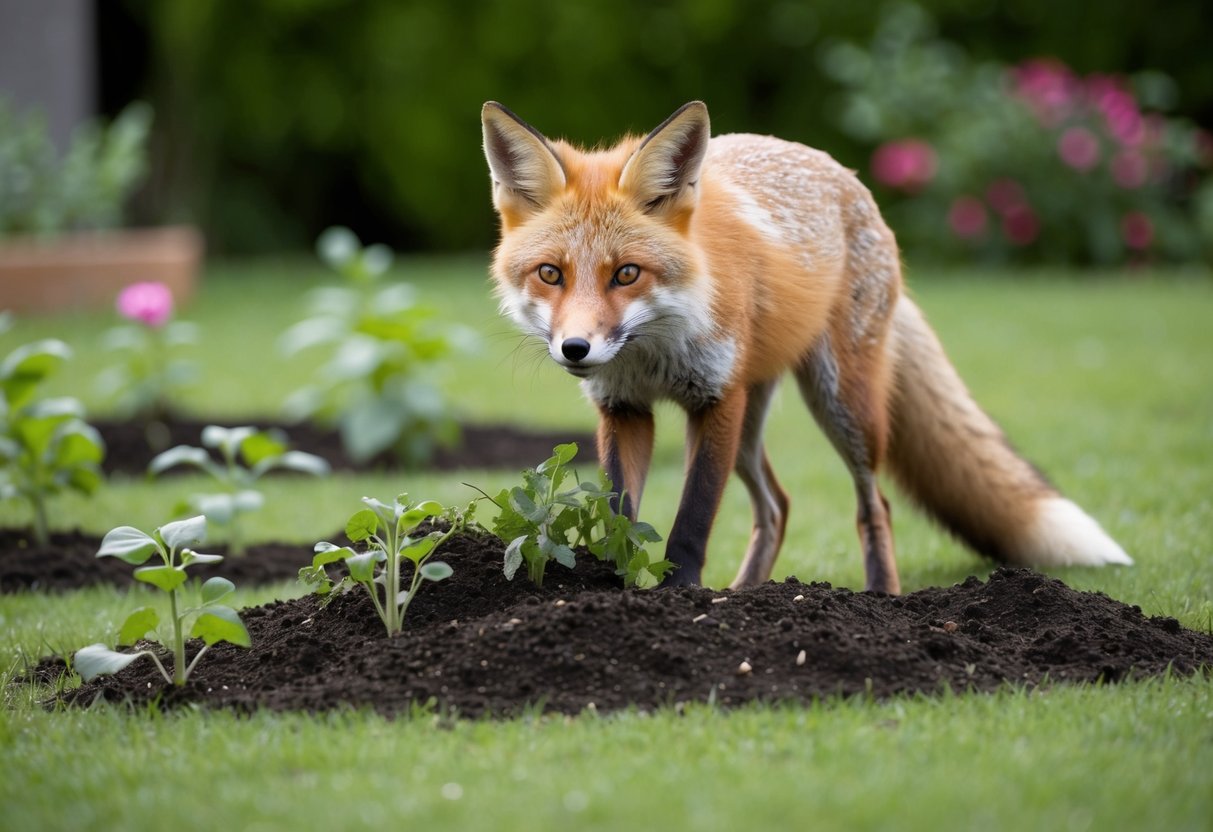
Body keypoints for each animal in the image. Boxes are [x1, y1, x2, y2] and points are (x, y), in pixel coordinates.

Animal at [480, 100, 1132, 593]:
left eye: (626, 274)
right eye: (550, 274)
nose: (576, 349)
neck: (653, 354)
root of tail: (841, 172)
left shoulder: (715, 400)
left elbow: (692, 519)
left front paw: (679, 594)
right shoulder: (624, 408)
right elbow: (618, 515)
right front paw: (613, 587)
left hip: (841, 406)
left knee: (875, 506)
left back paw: (881, 596)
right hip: (752, 424)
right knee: (778, 507)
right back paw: (745, 594)